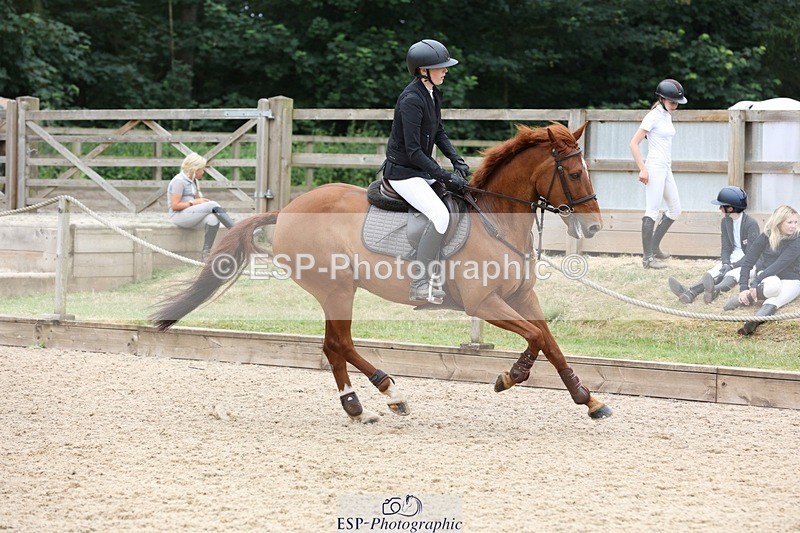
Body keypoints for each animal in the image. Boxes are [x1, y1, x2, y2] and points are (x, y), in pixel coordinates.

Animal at [152, 122, 612, 423]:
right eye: (574, 173)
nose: (593, 228)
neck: (495, 218)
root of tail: (286, 211)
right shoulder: (483, 303)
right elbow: (535, 337)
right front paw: (509, 376)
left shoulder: (520, 296)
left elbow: (549, 341)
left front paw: (587, 398)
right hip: (337, 290)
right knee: (339, 344)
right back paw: (384, 394)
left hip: (338, 291)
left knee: (333, 346)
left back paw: (363, 403)